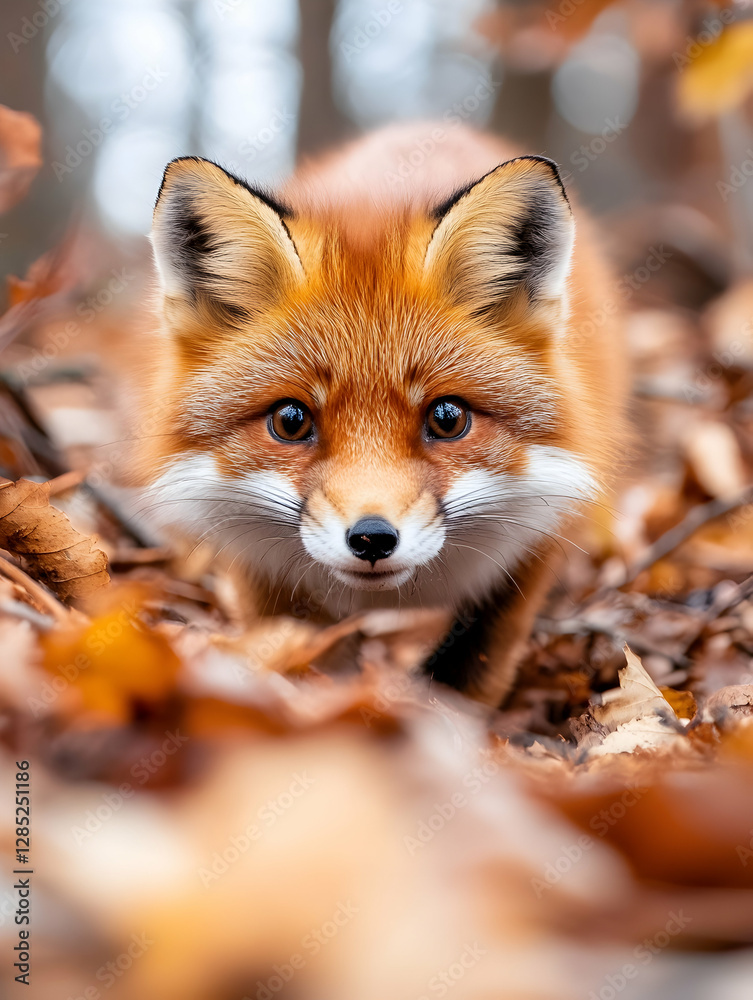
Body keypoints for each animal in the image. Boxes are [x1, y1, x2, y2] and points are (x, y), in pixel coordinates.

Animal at [139, 123, 628, 707]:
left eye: (447, 418)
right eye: (290, 421)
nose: (372, 538)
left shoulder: (538, 535)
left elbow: (474, 664)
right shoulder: (255, 564)